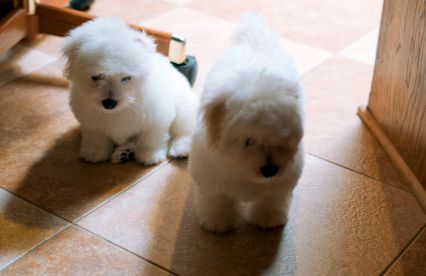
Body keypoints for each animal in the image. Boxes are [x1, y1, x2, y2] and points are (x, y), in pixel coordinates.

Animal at [63, 17, 200, 164]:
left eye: (126, 78)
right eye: (96, 77)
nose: (109, 103)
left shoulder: (155, 119)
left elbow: (150, 138)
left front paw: (149, 155)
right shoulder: (91, 123)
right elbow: (96, 138)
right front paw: (94, 153)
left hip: (183, 111)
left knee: (185, 131)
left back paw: (180, 148)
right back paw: (124, 153)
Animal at [188, 13, 304, 233]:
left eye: (282, 139)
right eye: (248, 141)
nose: (270, 170)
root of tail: (254, 37)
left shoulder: (280, 184)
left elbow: (270, 199)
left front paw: (267, 218)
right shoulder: (212, 178)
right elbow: (218, 200)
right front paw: (219, 222)